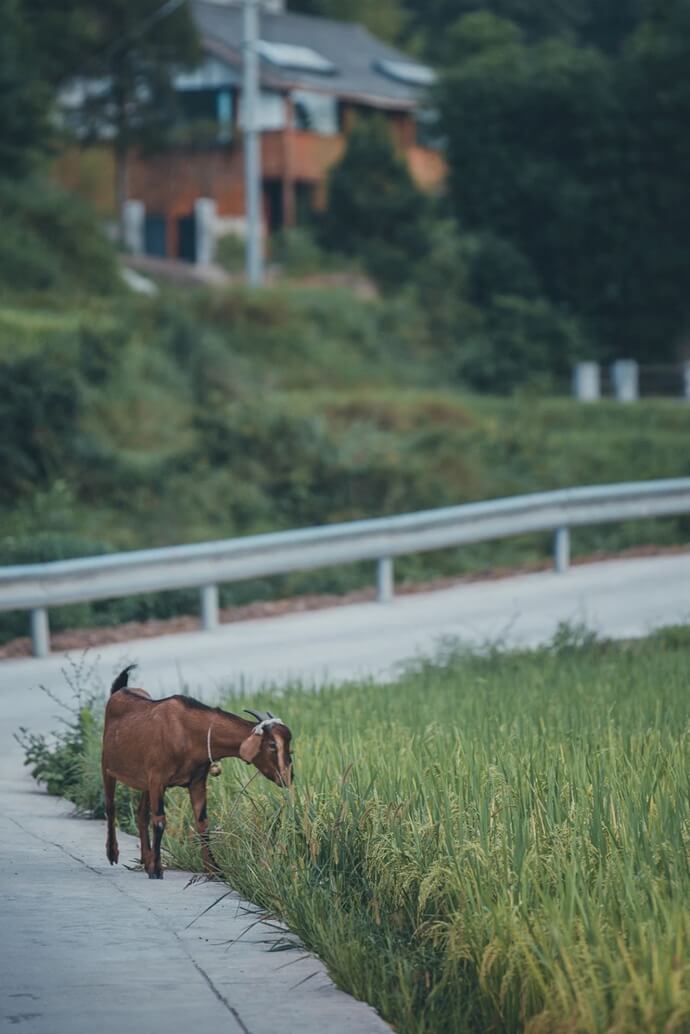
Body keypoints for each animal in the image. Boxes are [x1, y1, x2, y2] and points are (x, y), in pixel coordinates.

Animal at [101, 665, 291, 876]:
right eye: (272, 745)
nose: (287, 777)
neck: (188, 733)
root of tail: (120, 690)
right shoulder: (158, 778)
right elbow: (160, 821)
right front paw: (157, 869)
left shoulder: (196, 781)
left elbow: (203, 823)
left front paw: (213, 868)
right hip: (107, 765)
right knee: (110, 806)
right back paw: (113, 853)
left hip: (144, 781)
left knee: (142, 813)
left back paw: (145, 858)